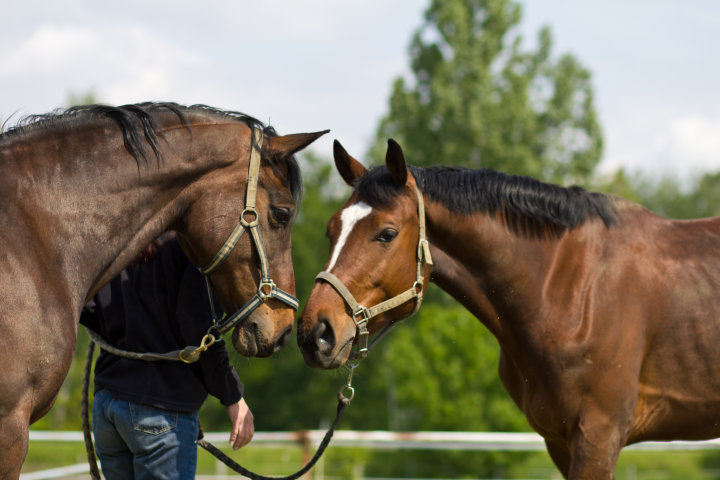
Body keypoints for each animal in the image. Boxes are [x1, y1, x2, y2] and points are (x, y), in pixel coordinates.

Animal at [296, 139, 720, 480]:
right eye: (331, 230)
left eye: (386, 233)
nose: (315, 333)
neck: (570, 288)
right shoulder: (560, 441)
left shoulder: (599, 436)